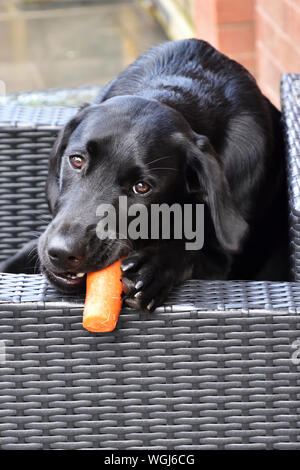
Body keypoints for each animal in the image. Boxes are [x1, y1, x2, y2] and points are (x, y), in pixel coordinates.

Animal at [0, 40, 290, 310]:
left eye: (142, 188)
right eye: (77, 160)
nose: (62, 253)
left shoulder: (223, 259)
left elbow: (192, 248)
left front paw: (151, 267)